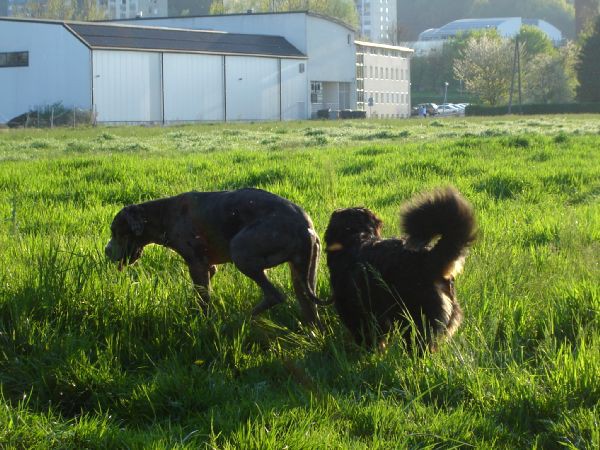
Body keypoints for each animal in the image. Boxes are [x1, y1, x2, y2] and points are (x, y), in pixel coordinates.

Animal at [106, 187, 324, 326]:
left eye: (116, 231)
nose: (106, 251)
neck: (162, 215)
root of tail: (304, 227)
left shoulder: (197, 265)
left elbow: (204, 299)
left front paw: (205, 322)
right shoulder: (209, 268)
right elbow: (202, 292)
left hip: (241, 250)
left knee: (275, 295)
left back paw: (238, 320)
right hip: (304, 270)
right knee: (308, 304)